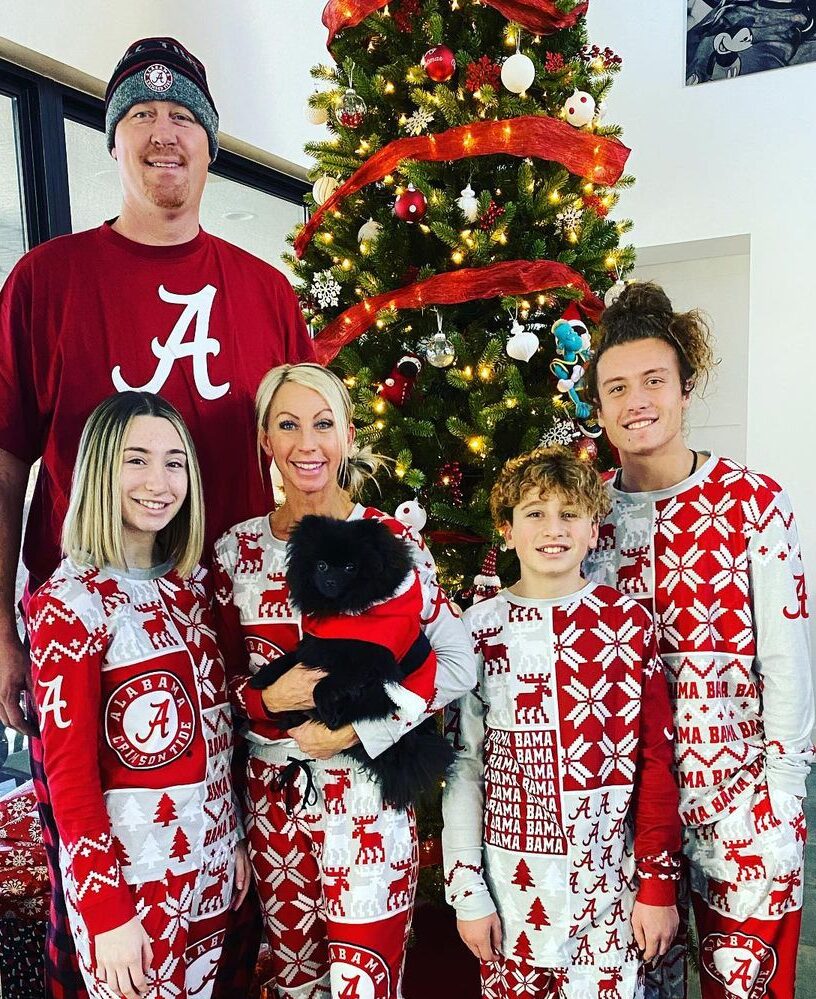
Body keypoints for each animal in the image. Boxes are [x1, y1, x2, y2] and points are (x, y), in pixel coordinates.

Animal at [250, 516, 452, 812]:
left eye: (350, 567)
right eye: (321, 565)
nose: (331, 580)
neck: (343, 614)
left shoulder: (367, 663)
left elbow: (325, 684)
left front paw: (326, 706)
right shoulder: (317, 644)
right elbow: (290, 658)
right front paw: (263, 677)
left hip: (379, 696)